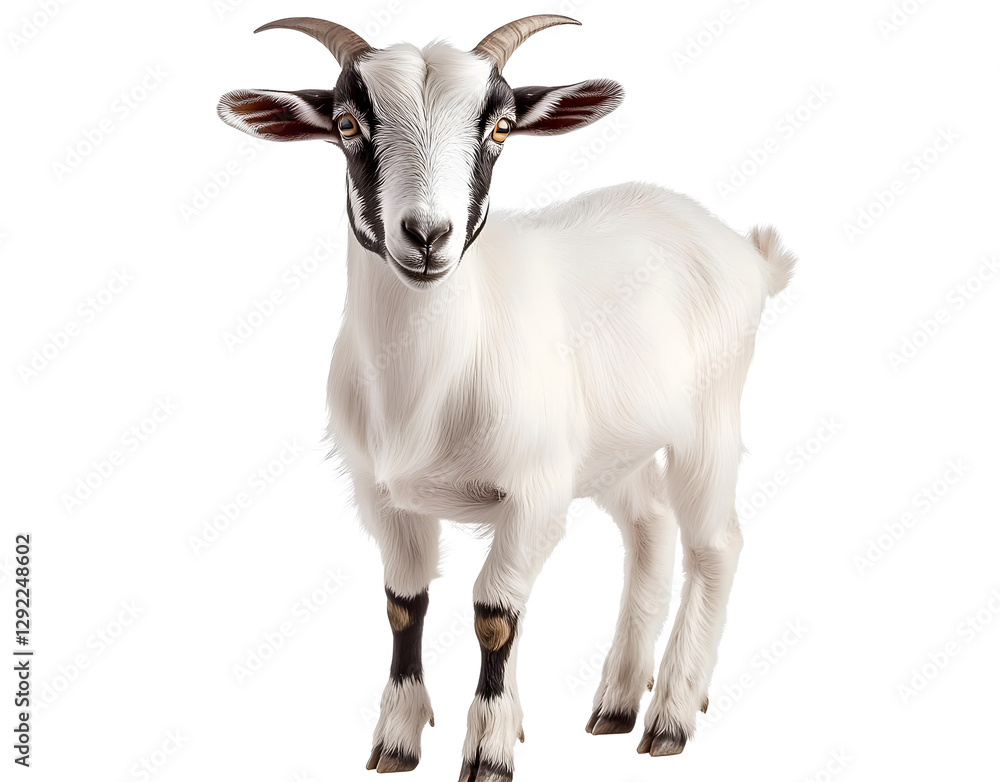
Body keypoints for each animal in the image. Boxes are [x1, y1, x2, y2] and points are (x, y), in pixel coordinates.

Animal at [218, 14, 796, 781]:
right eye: (346, 124)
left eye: (498, 129)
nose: (427, 235)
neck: (427, 388)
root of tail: (746, 251)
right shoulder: (384, 497)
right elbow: (405, 605)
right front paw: (397, 742)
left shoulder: (535, 491)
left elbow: (495, 614)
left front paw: (489, 749)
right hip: (612, 448)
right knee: (650, 527)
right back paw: (617, 703)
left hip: (710, 421)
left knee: (715, 545)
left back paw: (671, 714)